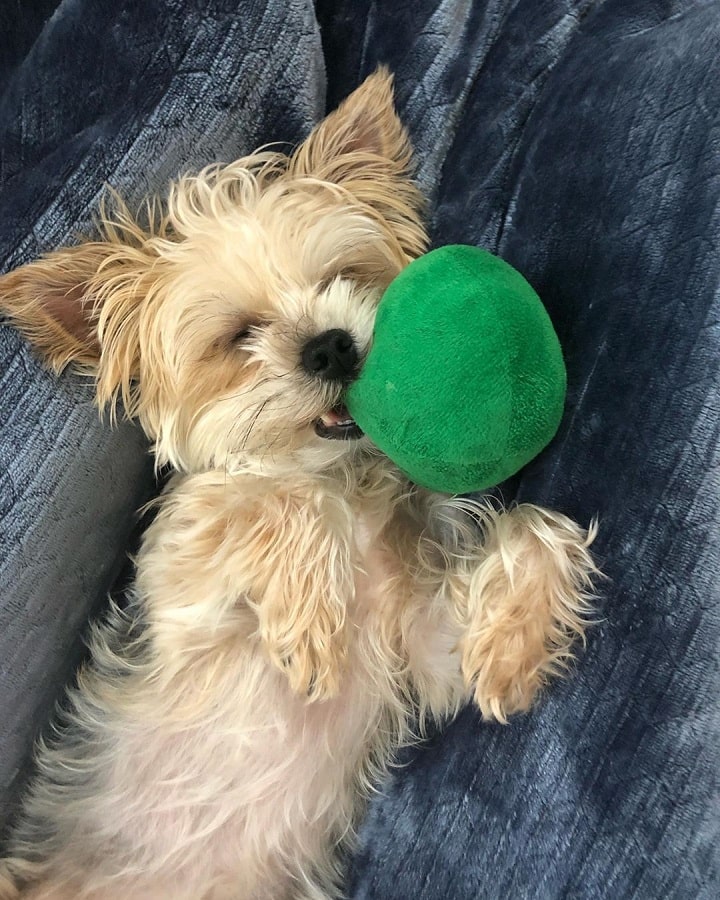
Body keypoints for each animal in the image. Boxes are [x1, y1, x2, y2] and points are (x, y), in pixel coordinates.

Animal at [0, 72, 596, 900]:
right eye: (237, 337)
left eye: (342, 276)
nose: (333, 346)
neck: (343, 482)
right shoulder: (178, 591)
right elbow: (275, 501)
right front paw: (310, 620)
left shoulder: (422, 654)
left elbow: (537, 528)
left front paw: (511, 646)